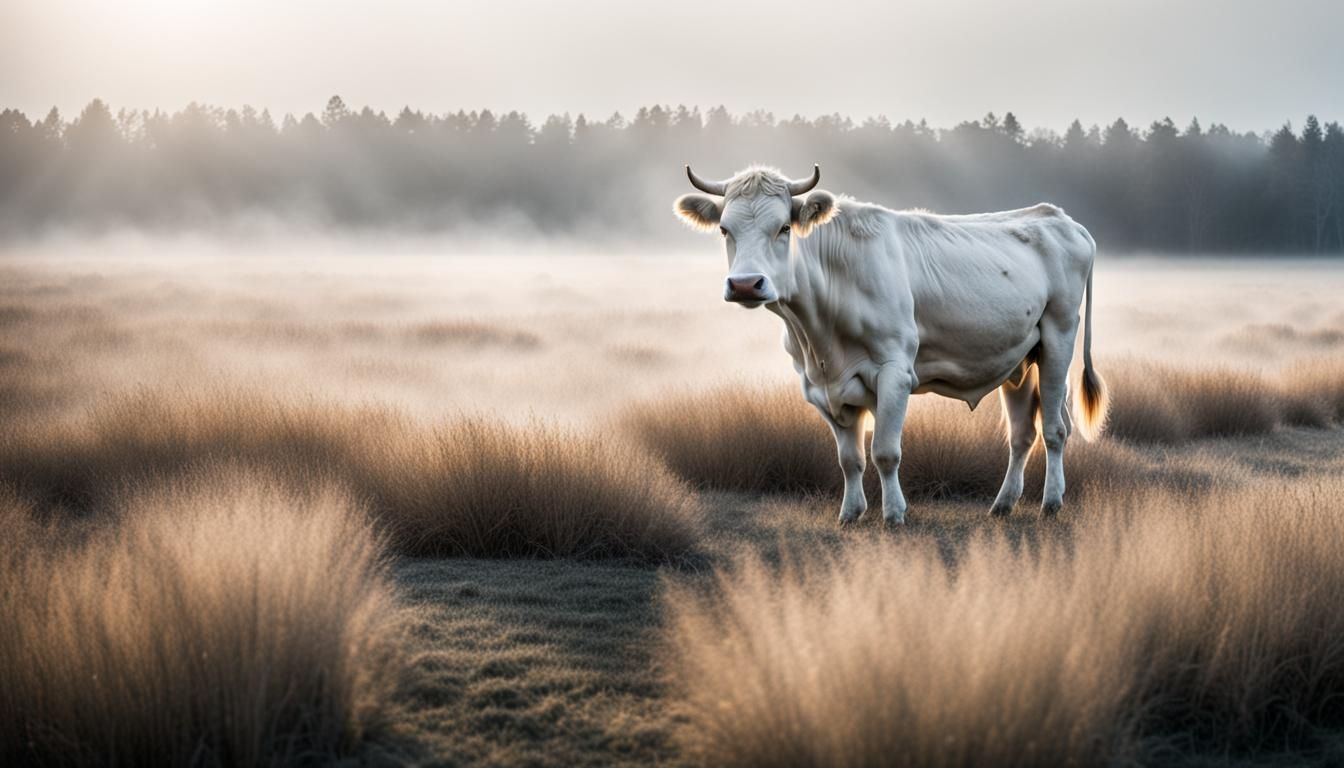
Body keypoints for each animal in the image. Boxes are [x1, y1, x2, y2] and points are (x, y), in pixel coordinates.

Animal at [677, 165, 1107, 527]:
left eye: (783, 227)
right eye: (724, 230)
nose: (746, 284)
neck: (820, 335)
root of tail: (1057, 217)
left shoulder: (895, 373)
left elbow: (885, 451)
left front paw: (894, 514)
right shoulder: (819, 384)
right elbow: (849, 458)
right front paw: (850, 513)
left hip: (1059, 337)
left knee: (1054, 429)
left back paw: (1051, 503)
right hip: (1017, 361)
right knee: (1021, 434)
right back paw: (1003, 504)